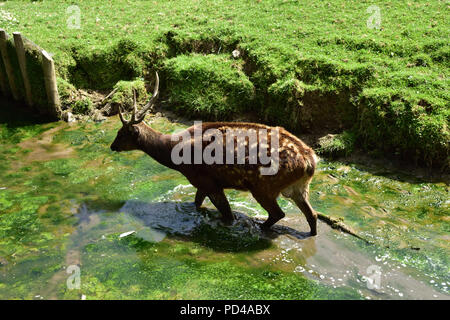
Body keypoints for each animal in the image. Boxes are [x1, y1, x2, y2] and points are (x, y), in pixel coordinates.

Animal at [110, 73, 318, 235]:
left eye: (121, 133)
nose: (112, 146)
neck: (175, 157)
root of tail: (310, 162)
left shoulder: (206, 180)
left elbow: (228, 215)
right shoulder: (203, 183)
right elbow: (196, 203)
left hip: (264, 185)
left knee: (279, 213)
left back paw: (259, 227)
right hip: (299, 188)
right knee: (312, 215)